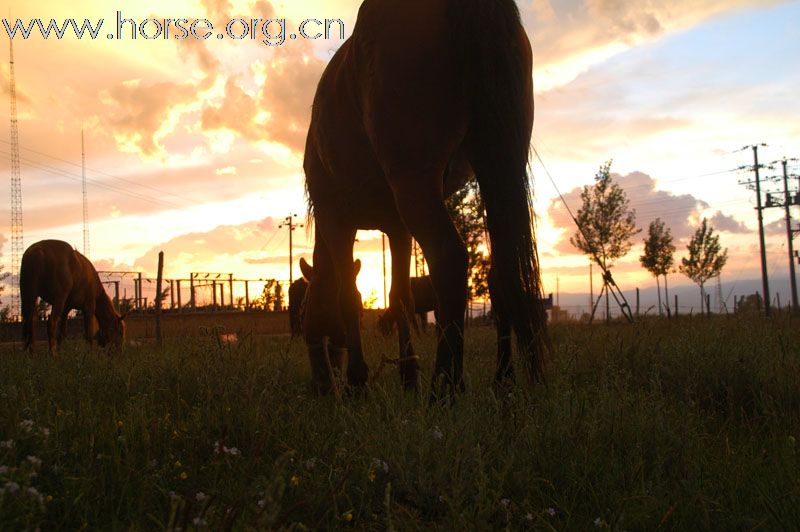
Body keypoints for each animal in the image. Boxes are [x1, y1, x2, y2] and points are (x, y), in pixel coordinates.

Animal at [302, 0, 552, 400]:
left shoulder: (336, 221)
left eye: (303, 309)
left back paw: (446, 387)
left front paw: (358, 382)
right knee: (502, 272)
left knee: (449, 258)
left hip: (416, 184)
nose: (323, 385)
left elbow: (349, 297)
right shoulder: (397, 228)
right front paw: (408, 376)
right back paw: (503, 380)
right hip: (495, 166)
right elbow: (399, 298)